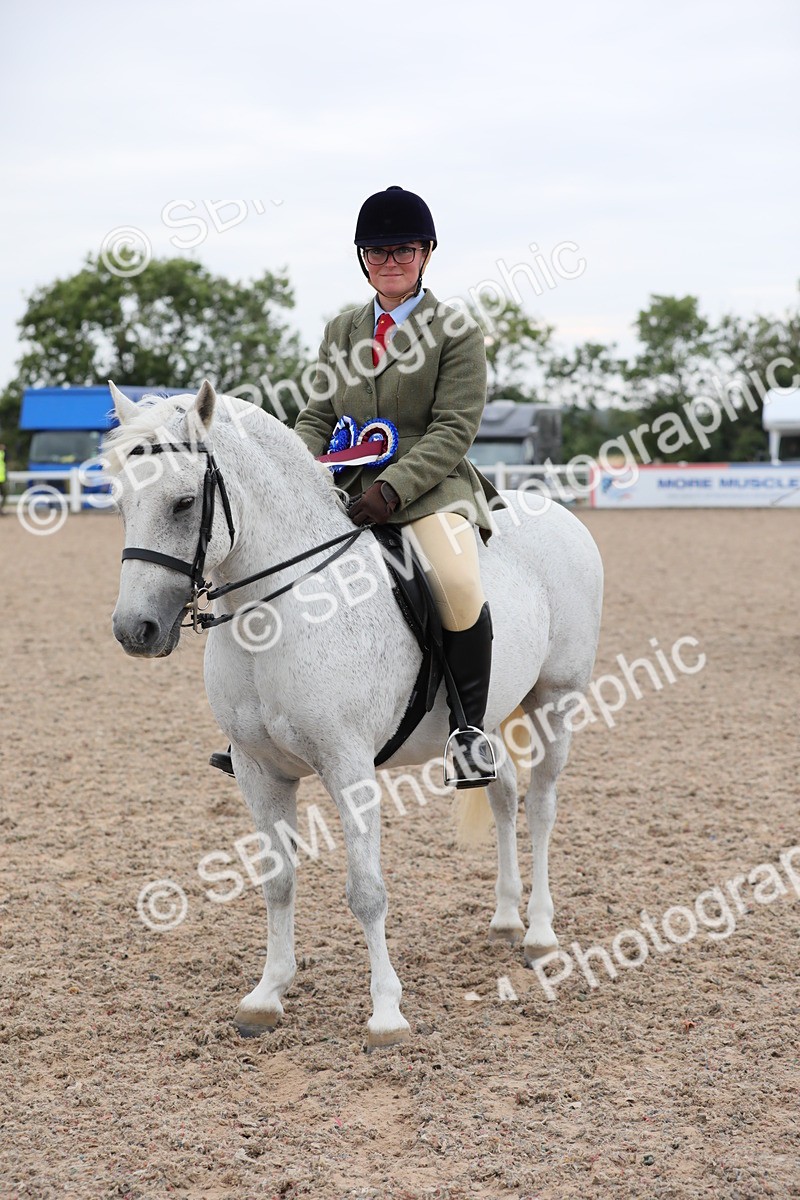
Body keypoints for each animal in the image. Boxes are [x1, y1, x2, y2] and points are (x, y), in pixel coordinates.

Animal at [105, 380, 603, 1048]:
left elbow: (366, 891)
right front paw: (266, 996)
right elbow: (278, 880)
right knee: (503, 796)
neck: (277, 608)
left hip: (555, 699)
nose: (135, 631)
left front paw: (386, 1013)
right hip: (490, 717)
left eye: (184, 503)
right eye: (121, 502)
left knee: (543, 804)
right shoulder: (258, 772)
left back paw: (541, 934)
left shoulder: (349, 769)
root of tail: (558, 512)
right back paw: (504, 920)